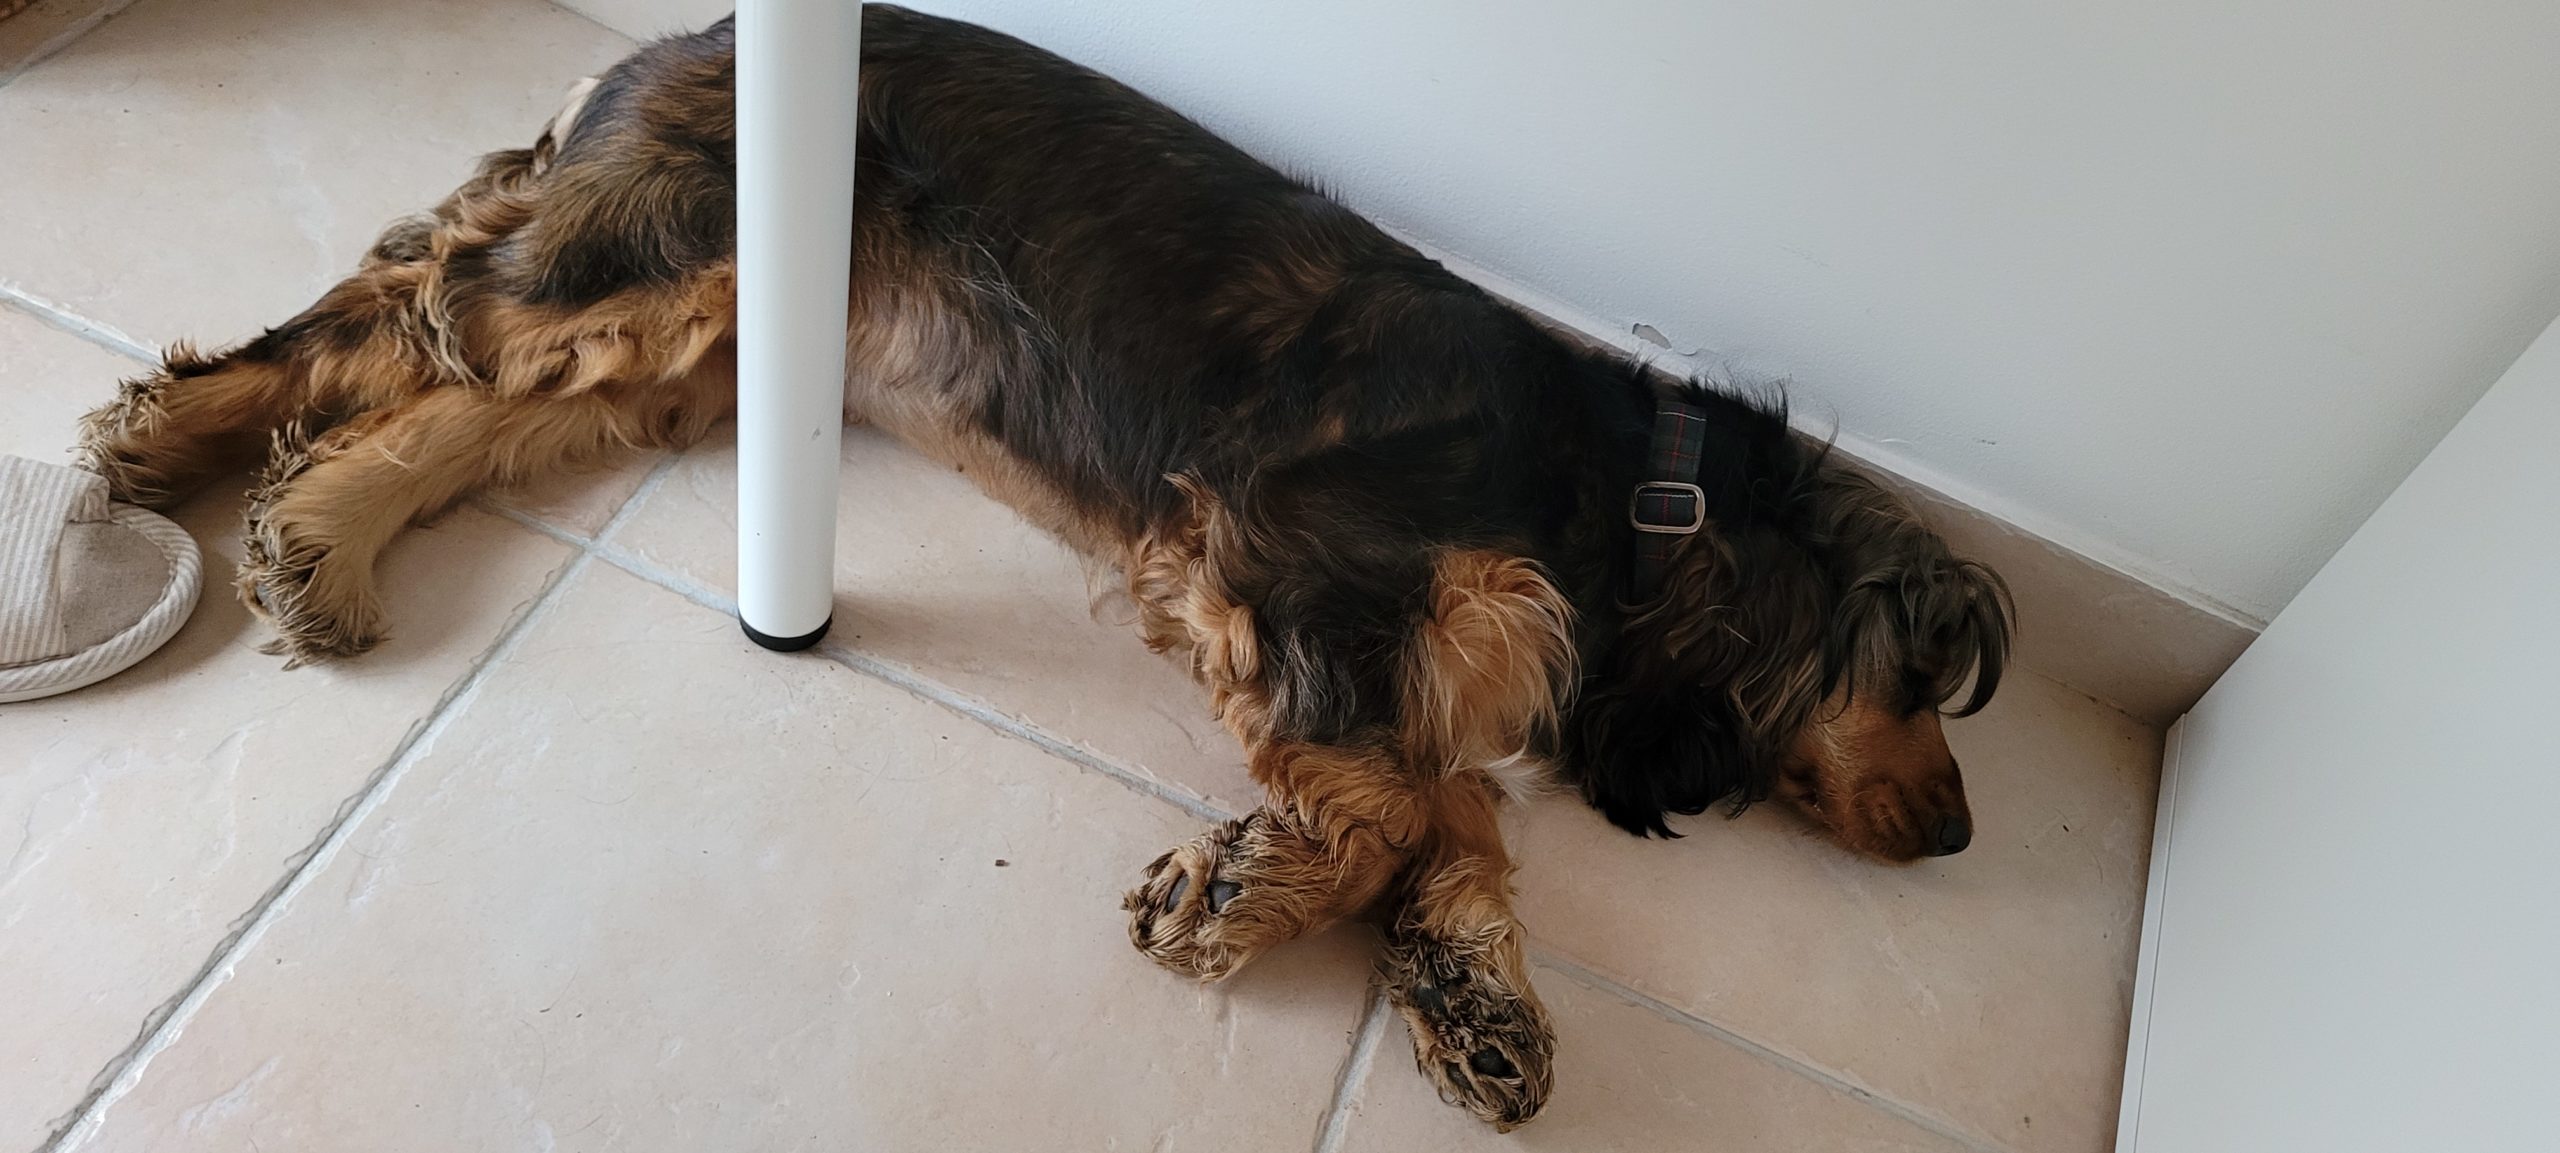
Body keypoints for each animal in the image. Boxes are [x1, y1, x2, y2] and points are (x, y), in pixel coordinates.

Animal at [74, 4, 1996, 1132]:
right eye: (1917, 678)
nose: (1967, 833)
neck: (1620, 482)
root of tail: (671, 38)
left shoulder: (1354, 628)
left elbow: (1456, 808)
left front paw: (1472, 996)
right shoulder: (1287, 558)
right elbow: (1398, 797)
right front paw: (1242, 896)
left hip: (695, 349)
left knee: (447, 402)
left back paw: (313, 538)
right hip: (665, 251)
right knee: (400, 310)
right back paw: (170, 440)